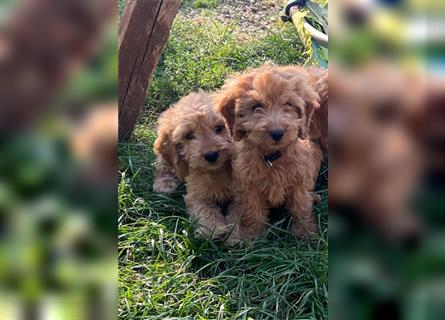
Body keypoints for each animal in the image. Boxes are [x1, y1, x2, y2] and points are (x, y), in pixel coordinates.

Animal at [153, 90, 236, 238]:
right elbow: (204, 209)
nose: (211, 155)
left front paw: (236, 236)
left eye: (219, 128)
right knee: (163, 166)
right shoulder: (196, 193)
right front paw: (213, 229)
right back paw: (164, 184)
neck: (216, 171)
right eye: (189, 135)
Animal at [214, 64, 322, 240]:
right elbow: (253, 210)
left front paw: (305, 233)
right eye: (256, 106)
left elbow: (300, 205)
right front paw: (253, 234)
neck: (273, 158)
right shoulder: (248, 184)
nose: (277, 133)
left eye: (288, 105)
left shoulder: (300, 179)